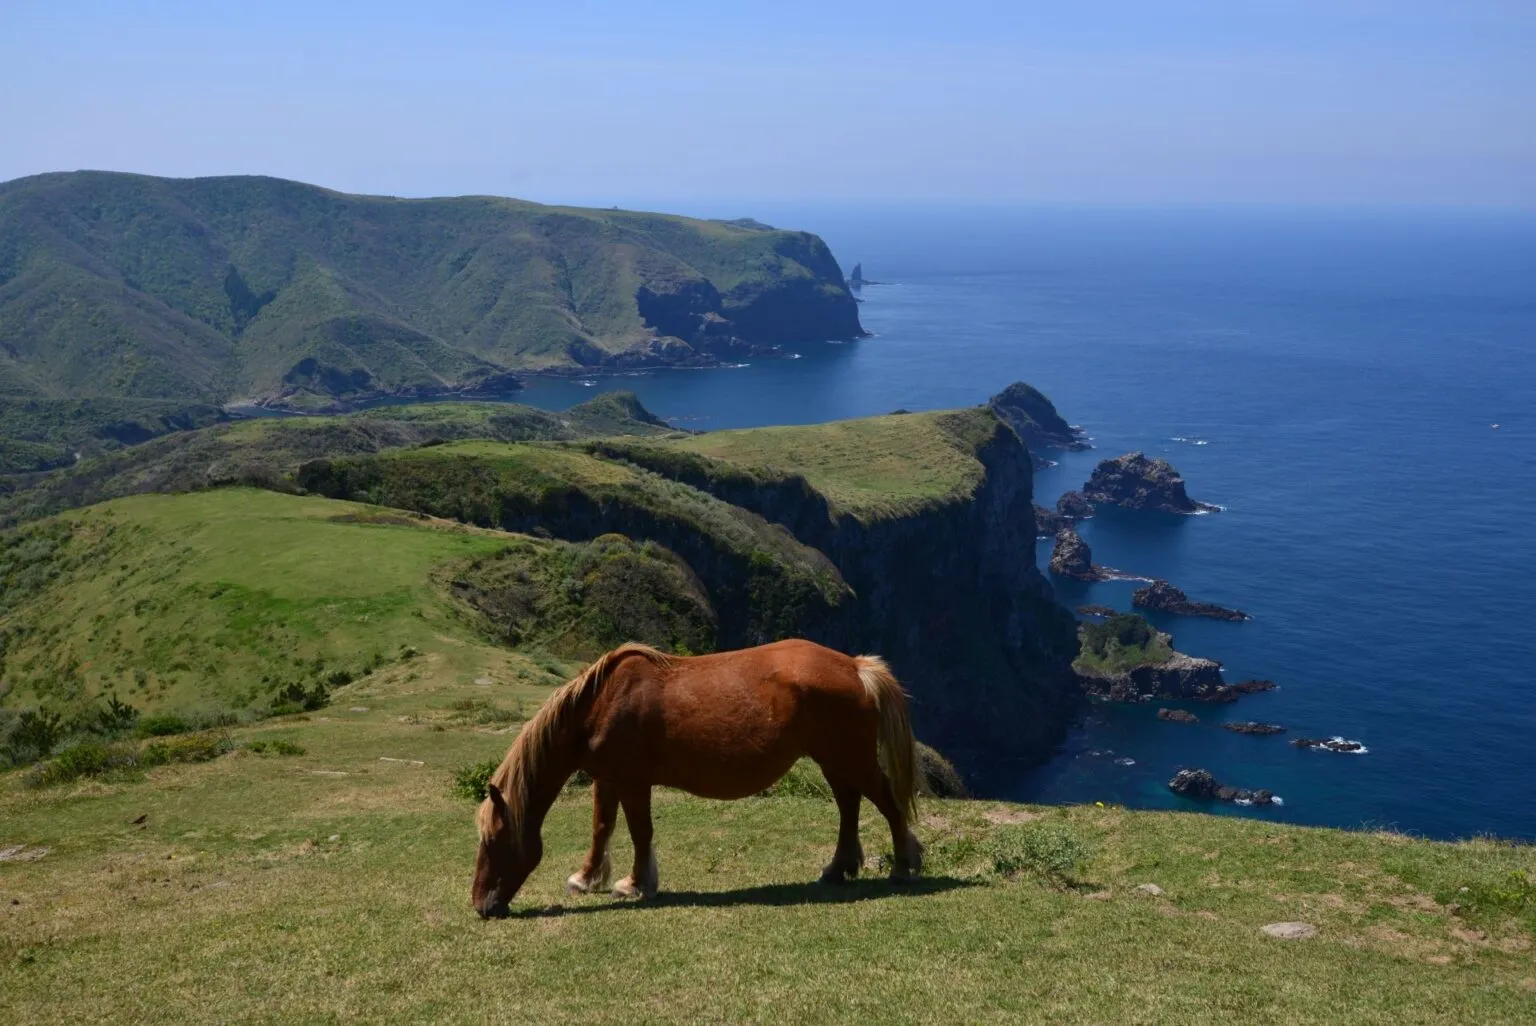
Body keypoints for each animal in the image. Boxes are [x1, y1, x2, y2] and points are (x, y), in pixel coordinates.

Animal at [471, 638, 922, 918]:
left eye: (493, 841)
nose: (482, 905)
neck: (598, 704)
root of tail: (855, 667)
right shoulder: (609, 778)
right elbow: (602, 827)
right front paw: (586, 879)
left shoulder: (633, 781)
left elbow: (639, 831)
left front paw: (635, 884)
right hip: (834, 761)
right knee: (849, 805)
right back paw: (837, 869)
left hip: (851, 760)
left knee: (887, 803)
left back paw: (903, 864)